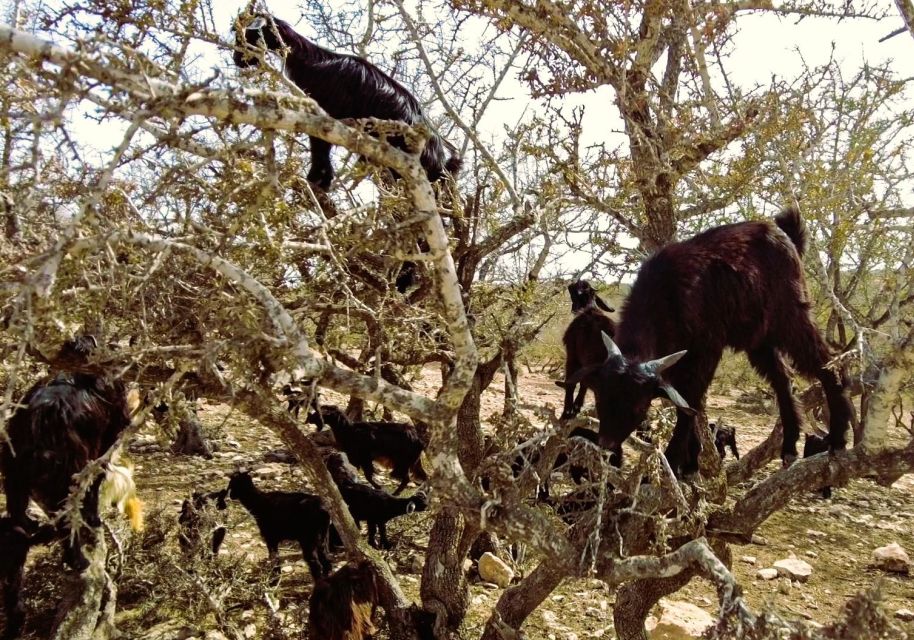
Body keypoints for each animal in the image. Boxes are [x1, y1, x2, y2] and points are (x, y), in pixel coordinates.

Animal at [232, 13, 460, 189]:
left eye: (246, 36)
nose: (236, 59)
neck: (312, 62)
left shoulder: (326, 115)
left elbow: (319, 145)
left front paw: (317, 179)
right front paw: (321, 181)